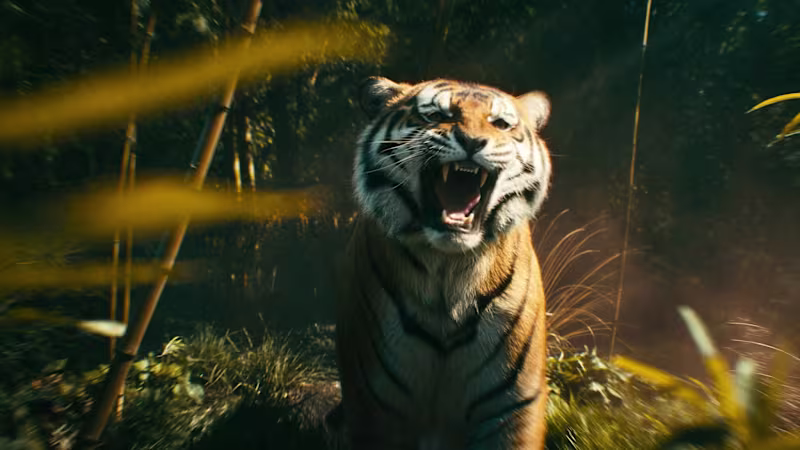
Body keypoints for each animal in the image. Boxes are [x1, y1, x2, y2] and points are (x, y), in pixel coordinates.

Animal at [334, 77, 552, 450]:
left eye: (500, 124)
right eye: (437, 115)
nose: (473, 142)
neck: (449, 272)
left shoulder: (512, 405)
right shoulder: (374, 404)